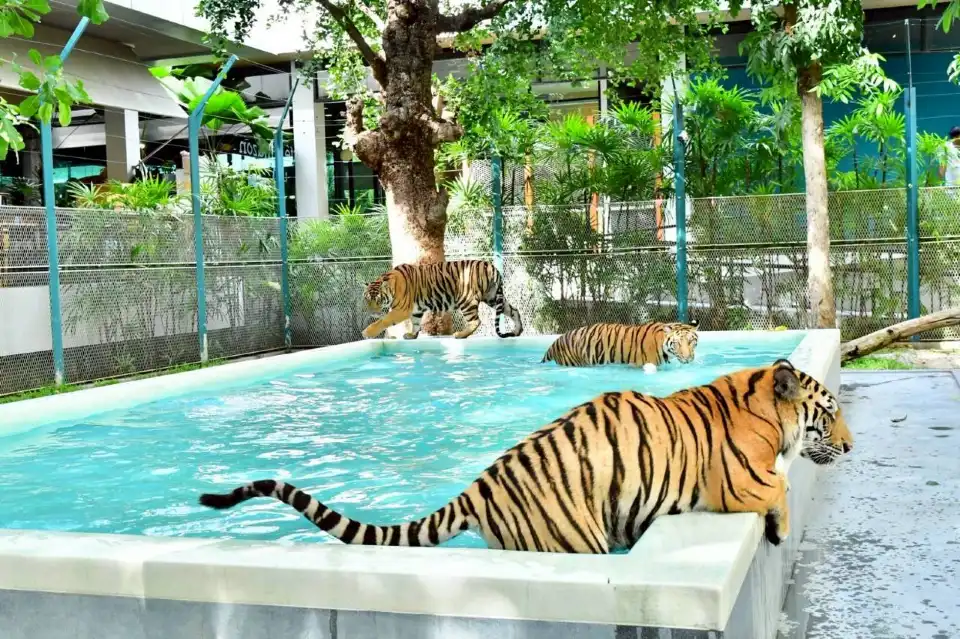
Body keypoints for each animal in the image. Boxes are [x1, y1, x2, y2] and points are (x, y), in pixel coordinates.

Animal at [199, 359, 852, 553]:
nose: (850, 445)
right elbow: (780, 488)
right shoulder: (739, 485)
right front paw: (779, 529)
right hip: (574, 539)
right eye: (830, 412)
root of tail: (479, 487)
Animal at [361, 259, 523, 340]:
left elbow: (384, 320)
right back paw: (517, 331)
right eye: (367, 300)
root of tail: (491, 267)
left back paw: (460, 335)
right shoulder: (415, 311)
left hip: (466, 300)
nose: (371, 311)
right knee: (514, 310)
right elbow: (416, 323)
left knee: (476, 321)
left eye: (378, 300)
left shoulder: (401, 310)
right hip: (493, 297)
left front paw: (367, 332)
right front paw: (412, 336)